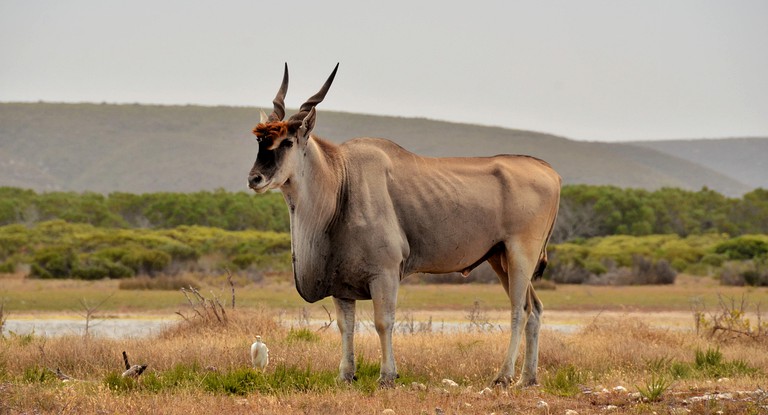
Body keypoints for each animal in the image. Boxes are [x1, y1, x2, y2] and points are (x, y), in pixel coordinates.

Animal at [249, 63, 560, 388]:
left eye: (287, 142)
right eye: (259, 141)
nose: (254, 178)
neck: (342, 181)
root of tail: (550, 172)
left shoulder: (385, 273)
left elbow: (383, 322)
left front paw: (387, 375)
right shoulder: (341, 285)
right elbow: (346, 327)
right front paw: (345, 375)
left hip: (520, 255)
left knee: (519, 310)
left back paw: (503, 376)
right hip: (500, 259)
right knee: (535, 309)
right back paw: (528, 378)